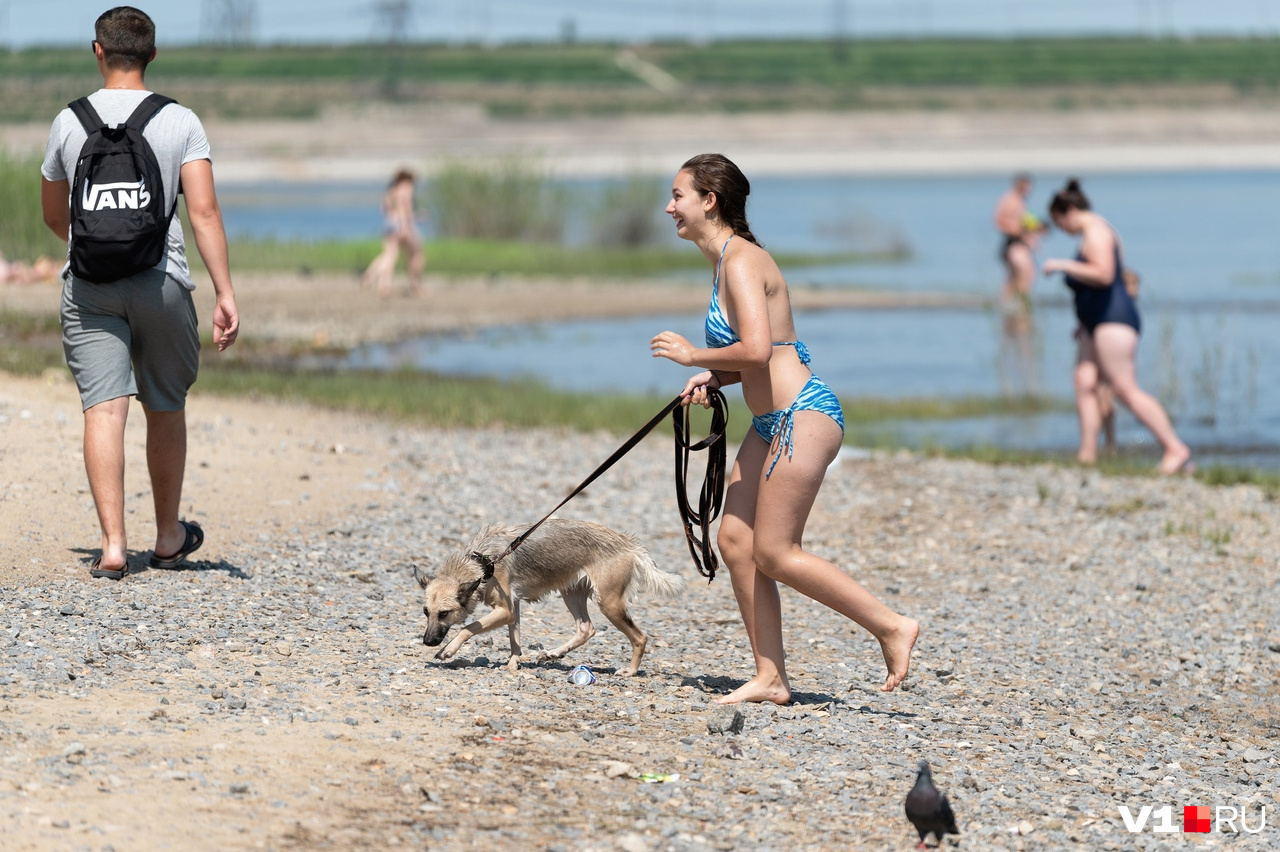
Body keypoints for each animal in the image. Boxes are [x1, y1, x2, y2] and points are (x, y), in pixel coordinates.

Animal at [417, 514, 680, 675]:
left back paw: (631, 671)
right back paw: (553, 653)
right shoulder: (513, 609)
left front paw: (448, 650)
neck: (484, 564)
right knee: (586, 628)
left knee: (640, 637)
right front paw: (513, 664)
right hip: (572, 593)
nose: (427, 642)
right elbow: (515, 640)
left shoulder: (505, 610)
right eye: (425, 612)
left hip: (609, 603)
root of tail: (631, 545)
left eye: (444, 613)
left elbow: (467, 628)